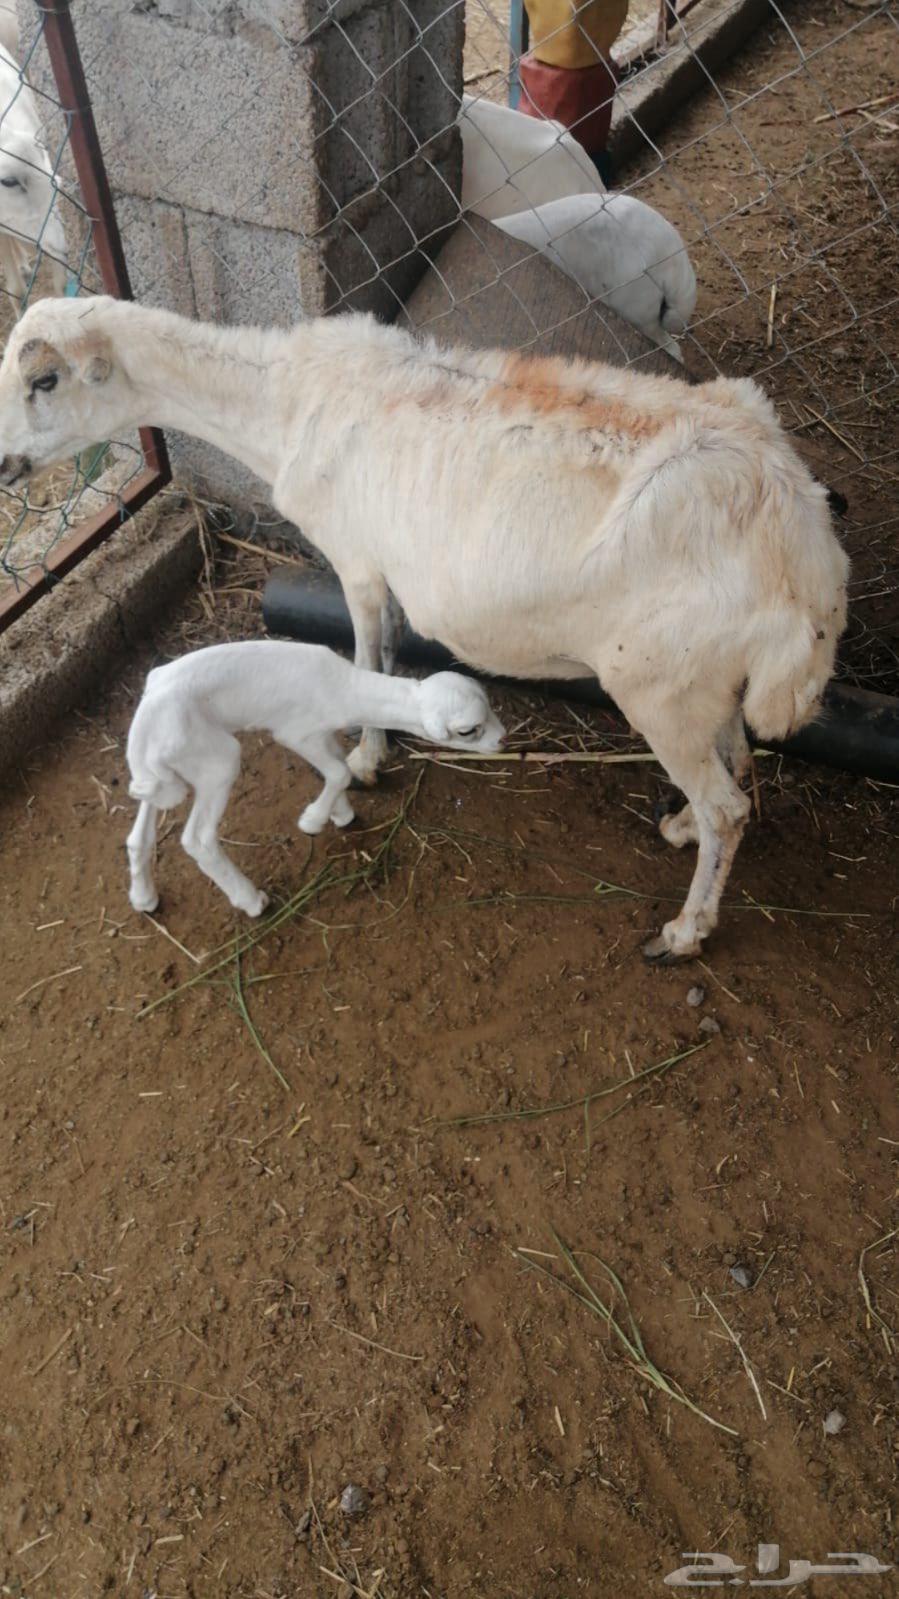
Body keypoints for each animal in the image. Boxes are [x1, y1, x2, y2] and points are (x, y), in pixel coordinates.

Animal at [125, 640, 504, 917]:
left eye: (489, 705)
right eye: (467, 730)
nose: (503, 740)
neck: (346, 689)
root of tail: (145, 723)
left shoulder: (321, 734)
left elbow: (336, 765)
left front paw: (341, 814)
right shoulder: (295, 733)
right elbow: (338, 771)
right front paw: (312, 821)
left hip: (164, 770)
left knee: (138, 833)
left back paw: (144, 897)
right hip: (216, 759)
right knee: (197, 839)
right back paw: (251, 901)